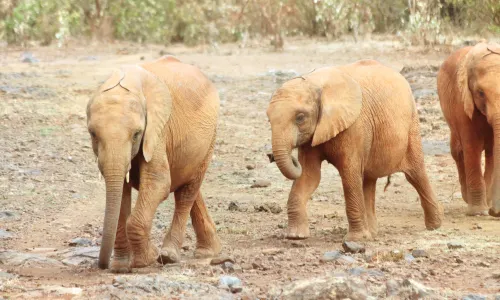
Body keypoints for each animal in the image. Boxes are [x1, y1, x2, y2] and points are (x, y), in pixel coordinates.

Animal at [87, 54, 222, 272]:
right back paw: (209, 252)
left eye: (136, 134)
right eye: (93, 134)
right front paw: (121, 266)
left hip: (211, 136)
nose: (103, 266)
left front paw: (146, 260)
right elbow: (121, 192)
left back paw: (169, 256)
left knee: (186, 193)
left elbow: (158, 182)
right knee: (187, 182)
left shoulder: (158, 129)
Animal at [440, 42, 500, 217]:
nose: (496, 213)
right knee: (458, 151)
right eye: (480, 93)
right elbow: (472, 147)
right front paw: (478, 212)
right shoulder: (461, 102)